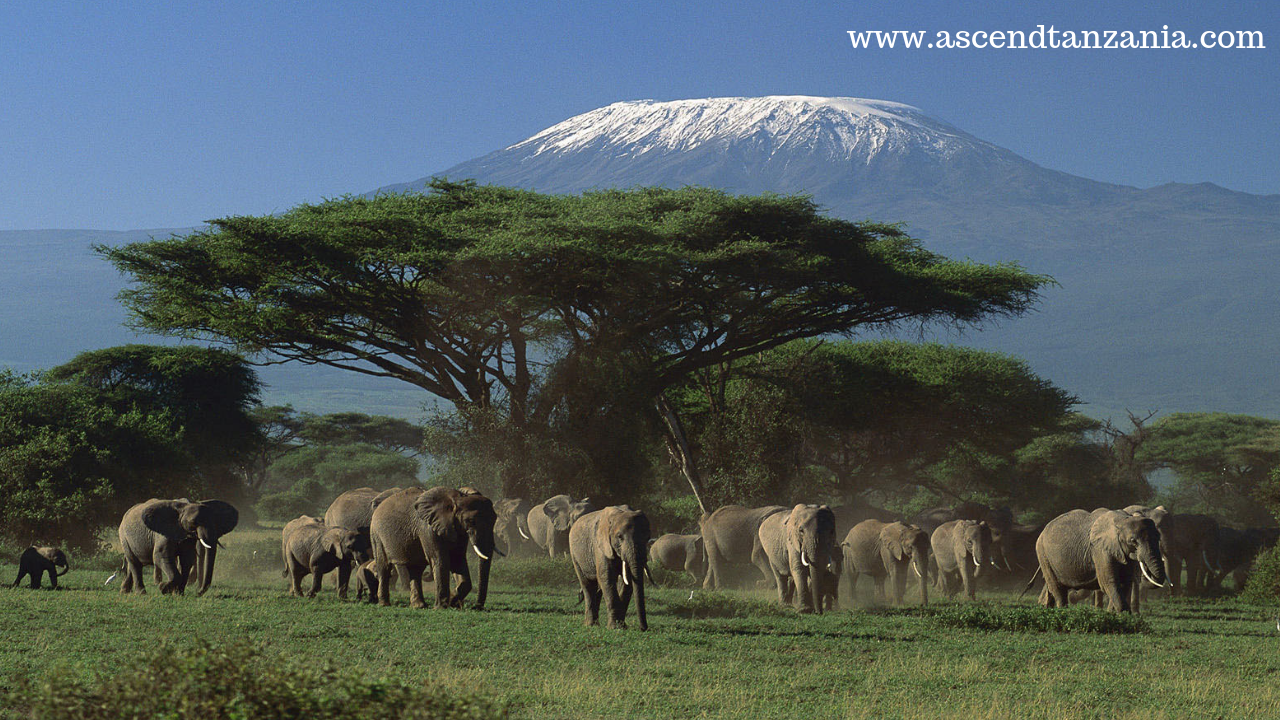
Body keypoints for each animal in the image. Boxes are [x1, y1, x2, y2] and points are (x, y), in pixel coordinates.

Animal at [371, 481, 499, 604]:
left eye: (495, 519)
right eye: (471, 521)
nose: (476, 607)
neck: (456, 499)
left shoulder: (458, 531)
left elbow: (457, 559)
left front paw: (452, 601)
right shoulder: (427, 528)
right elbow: (440, 559)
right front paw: (441, 606)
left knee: (416, 570)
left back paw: (419, 605)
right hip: (376, 535)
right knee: (384, 567)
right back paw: (384, 603)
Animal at [1034, 504, 1167, 609]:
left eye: (1158, 537)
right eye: (1133, 541)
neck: (1122, 520)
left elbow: (1125, 582)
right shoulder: (1100, 550)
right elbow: (1109, 582)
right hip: (1043, 553)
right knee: (1058, 589)